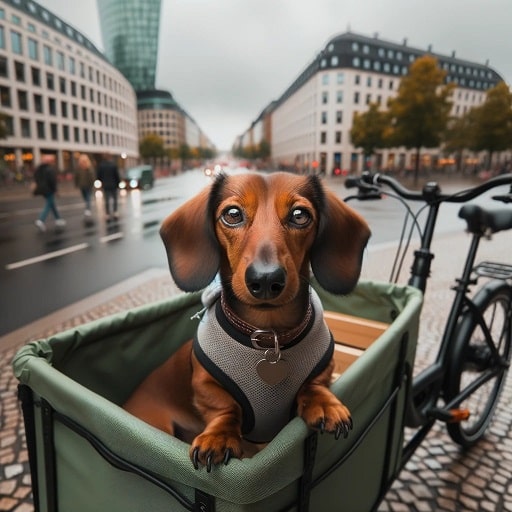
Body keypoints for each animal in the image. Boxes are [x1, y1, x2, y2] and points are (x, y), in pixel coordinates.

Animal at [124, 172, 372, 472]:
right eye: (232, 214)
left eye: (300, 215)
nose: (265, 279)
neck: (268, 334)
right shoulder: (205, 385)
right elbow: (224, 408)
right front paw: (218, 436)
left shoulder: (325, 368)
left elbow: (315, 385)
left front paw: (325, 404)